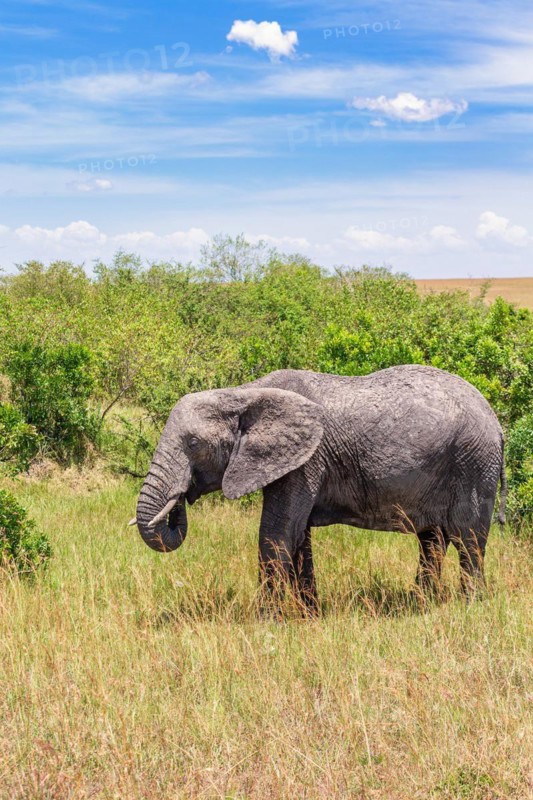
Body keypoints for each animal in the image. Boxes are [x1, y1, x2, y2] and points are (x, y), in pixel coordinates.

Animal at [132, 365, 506, 611]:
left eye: (193, 444)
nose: (180, 498)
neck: (243, 392)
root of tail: (497, 422)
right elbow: (299, 536)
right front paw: (308, 614)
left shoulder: (307, 460)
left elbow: (277, 533)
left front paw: (266, 619)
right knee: (431, 541)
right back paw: (421, 605)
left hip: (473, 462)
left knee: (468, 540)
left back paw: (471, 606)